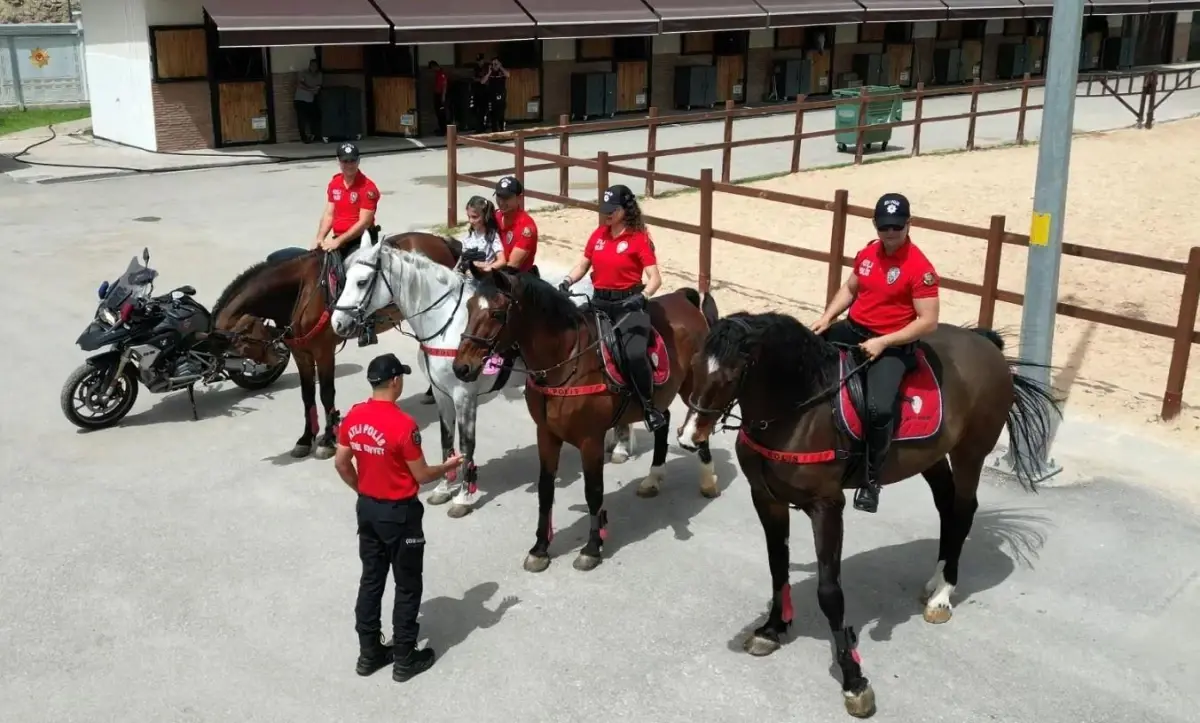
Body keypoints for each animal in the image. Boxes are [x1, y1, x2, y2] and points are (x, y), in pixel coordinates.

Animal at [213, 230, 460, 456]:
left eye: (240, 343)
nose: (277, 356)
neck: (301, 291)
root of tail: (440, 239)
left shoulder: (323, 351)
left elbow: (326, 393)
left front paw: (327, 440)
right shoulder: (301, 354)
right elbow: (307, 395)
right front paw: (306, 438)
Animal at [331, 238, 638, 514]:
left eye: (361, 282)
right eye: (345, 279)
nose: (338, 323)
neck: (445, 324)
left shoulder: (464, 396)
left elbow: (467, 444)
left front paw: (463, 497)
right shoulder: (441, 393)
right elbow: (446, 439)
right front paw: (444, 487)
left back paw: (622, 447)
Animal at [451, 267, 720, 571]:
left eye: (497, 314)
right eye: (469, 307)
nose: (461, 367)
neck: (565, 363)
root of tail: (683, 298)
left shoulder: (591, 440)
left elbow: (593, 491)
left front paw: (592, 548)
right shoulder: (546, 434)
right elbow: (545, 490)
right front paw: (540, 548)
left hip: (692, 388)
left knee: (701, 424)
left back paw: (708, 480)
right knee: (664, 422)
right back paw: (654, 478)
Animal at [676, 309, 1060, 715]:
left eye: (731, 375)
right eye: (695, 365)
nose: (688, 437)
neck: (799, 410)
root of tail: (987, 344)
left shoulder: (827, 507)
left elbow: (830, 592)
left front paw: (853, 679)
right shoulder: (766, 499)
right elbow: (777, 567)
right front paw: (773, 628)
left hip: (970, 452)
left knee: (963, 510)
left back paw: (943, 594)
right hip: (932, 455)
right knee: (946, 503)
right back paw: (935, 579)